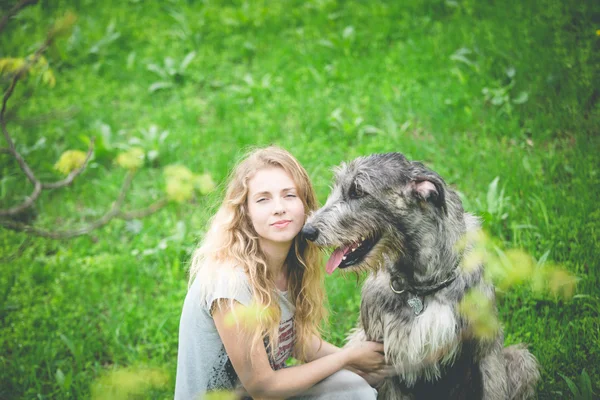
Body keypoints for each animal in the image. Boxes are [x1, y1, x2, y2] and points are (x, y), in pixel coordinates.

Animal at [302, 152, 540, 396]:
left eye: (357, 191)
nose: (306, 231)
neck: (424, 285)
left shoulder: (487, 349)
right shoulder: (383, 357)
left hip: (521, 361)